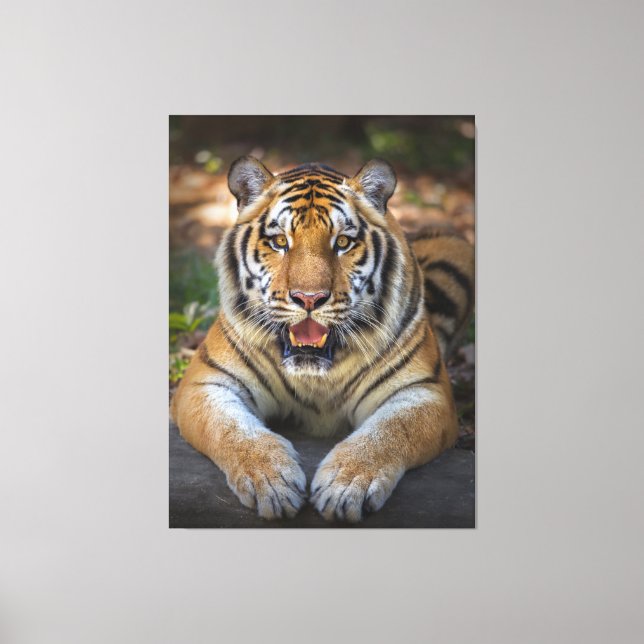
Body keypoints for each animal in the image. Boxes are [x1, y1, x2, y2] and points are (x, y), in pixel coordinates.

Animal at [170, 156, 474, 522]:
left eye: (342, 243)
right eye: (280, 242)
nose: (309, 298)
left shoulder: (425, 391)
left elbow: (389, 432)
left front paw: (346, 486)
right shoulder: (206, 383)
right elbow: (233, 431)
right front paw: (272, 482)